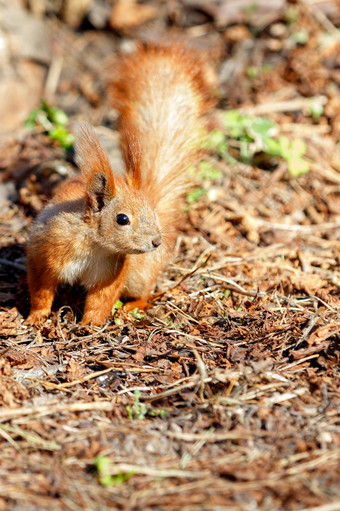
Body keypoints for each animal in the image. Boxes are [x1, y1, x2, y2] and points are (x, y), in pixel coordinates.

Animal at [26, 43, 211, 324]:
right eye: (122, 219)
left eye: (153, 214)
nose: (156, 242)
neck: (94, 245)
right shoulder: (45, 253)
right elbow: (41, 289)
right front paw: (35, 318)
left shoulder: (112, 271)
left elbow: (102, 299)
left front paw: (90, 325)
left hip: (139, 273)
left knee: (144, 292)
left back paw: (131, 307)